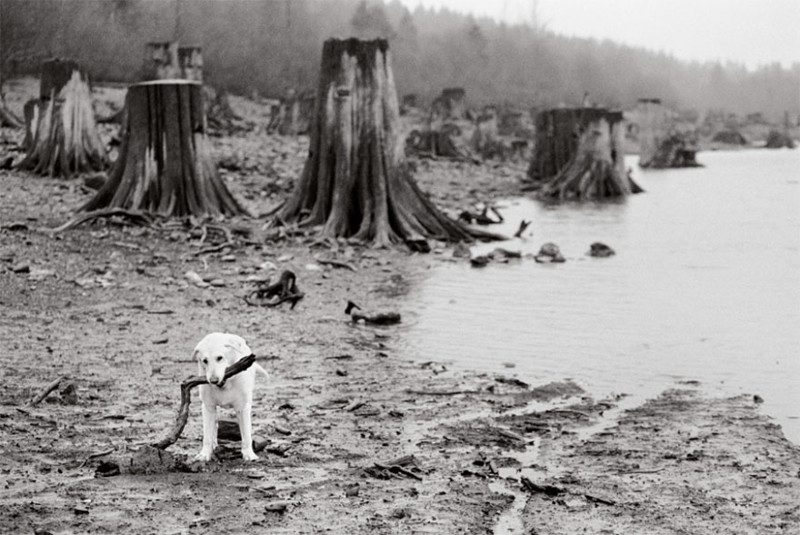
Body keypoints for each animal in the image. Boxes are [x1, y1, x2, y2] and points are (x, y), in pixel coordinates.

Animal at [192, 332, 268, 462]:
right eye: (205, 361)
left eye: (219, 358)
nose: (213, 381)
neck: (224, 384)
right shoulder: (208, 407)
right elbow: (207, 435)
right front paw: (204, 454)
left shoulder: (243, 408)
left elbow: (246, 435)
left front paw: (249, 454)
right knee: (215, 426)